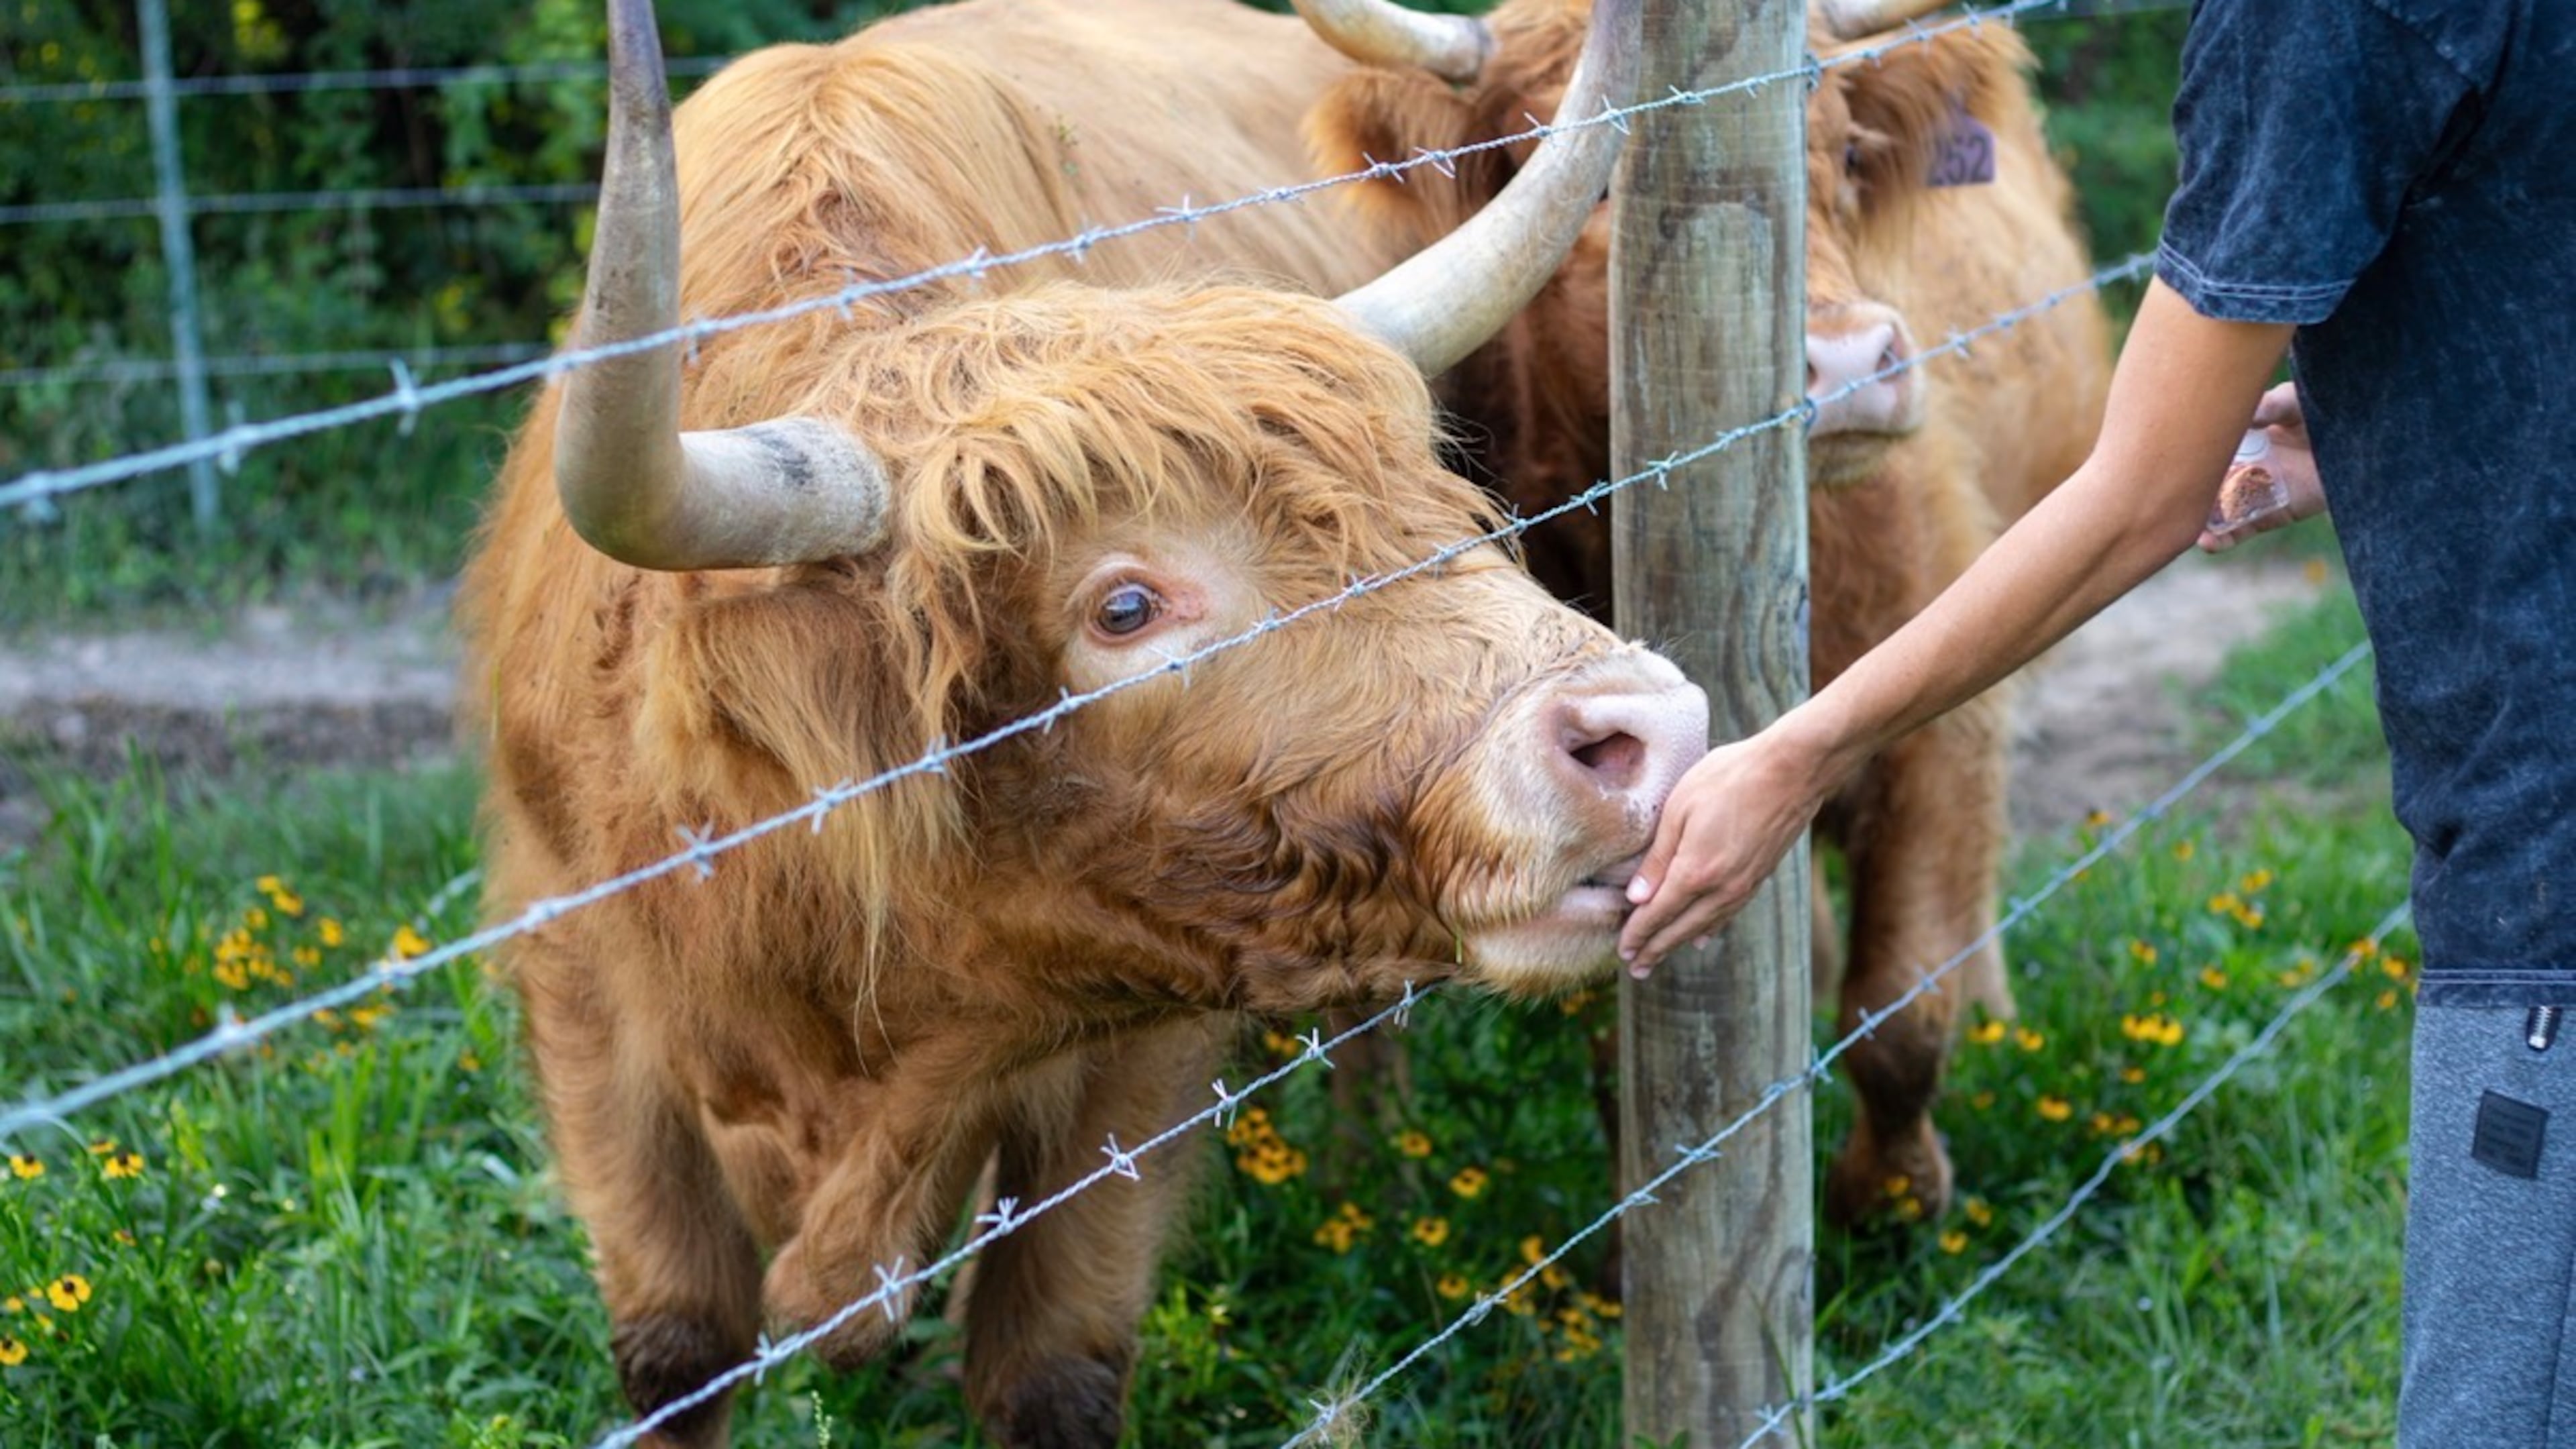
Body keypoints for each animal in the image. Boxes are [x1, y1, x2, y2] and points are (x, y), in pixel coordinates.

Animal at [455, 1, 1696, 1446]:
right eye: (1124, 606)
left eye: (1431, 509)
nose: (1647, 729)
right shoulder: (588, 996)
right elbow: (677, 1346)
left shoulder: (1137, 1053)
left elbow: (1051, 1364)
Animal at [1298, 0, 2114, 1225]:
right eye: (1576, 183)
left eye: (1851, 155)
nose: (1849, 362)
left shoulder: (1945, 724)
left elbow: (1904, 1009)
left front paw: (1895, 1197)